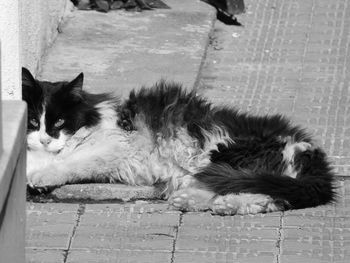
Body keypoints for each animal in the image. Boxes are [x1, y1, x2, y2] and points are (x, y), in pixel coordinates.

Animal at [22, 68, 336, 217]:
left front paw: (42, 178)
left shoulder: (116, 146)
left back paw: (213, 204)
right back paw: (195, 201)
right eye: (33, 121)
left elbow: (73, 163)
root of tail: (313, 155)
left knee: (259, 189)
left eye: (59, 122)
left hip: (224, 153)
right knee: (270, 196)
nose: (44, 139)